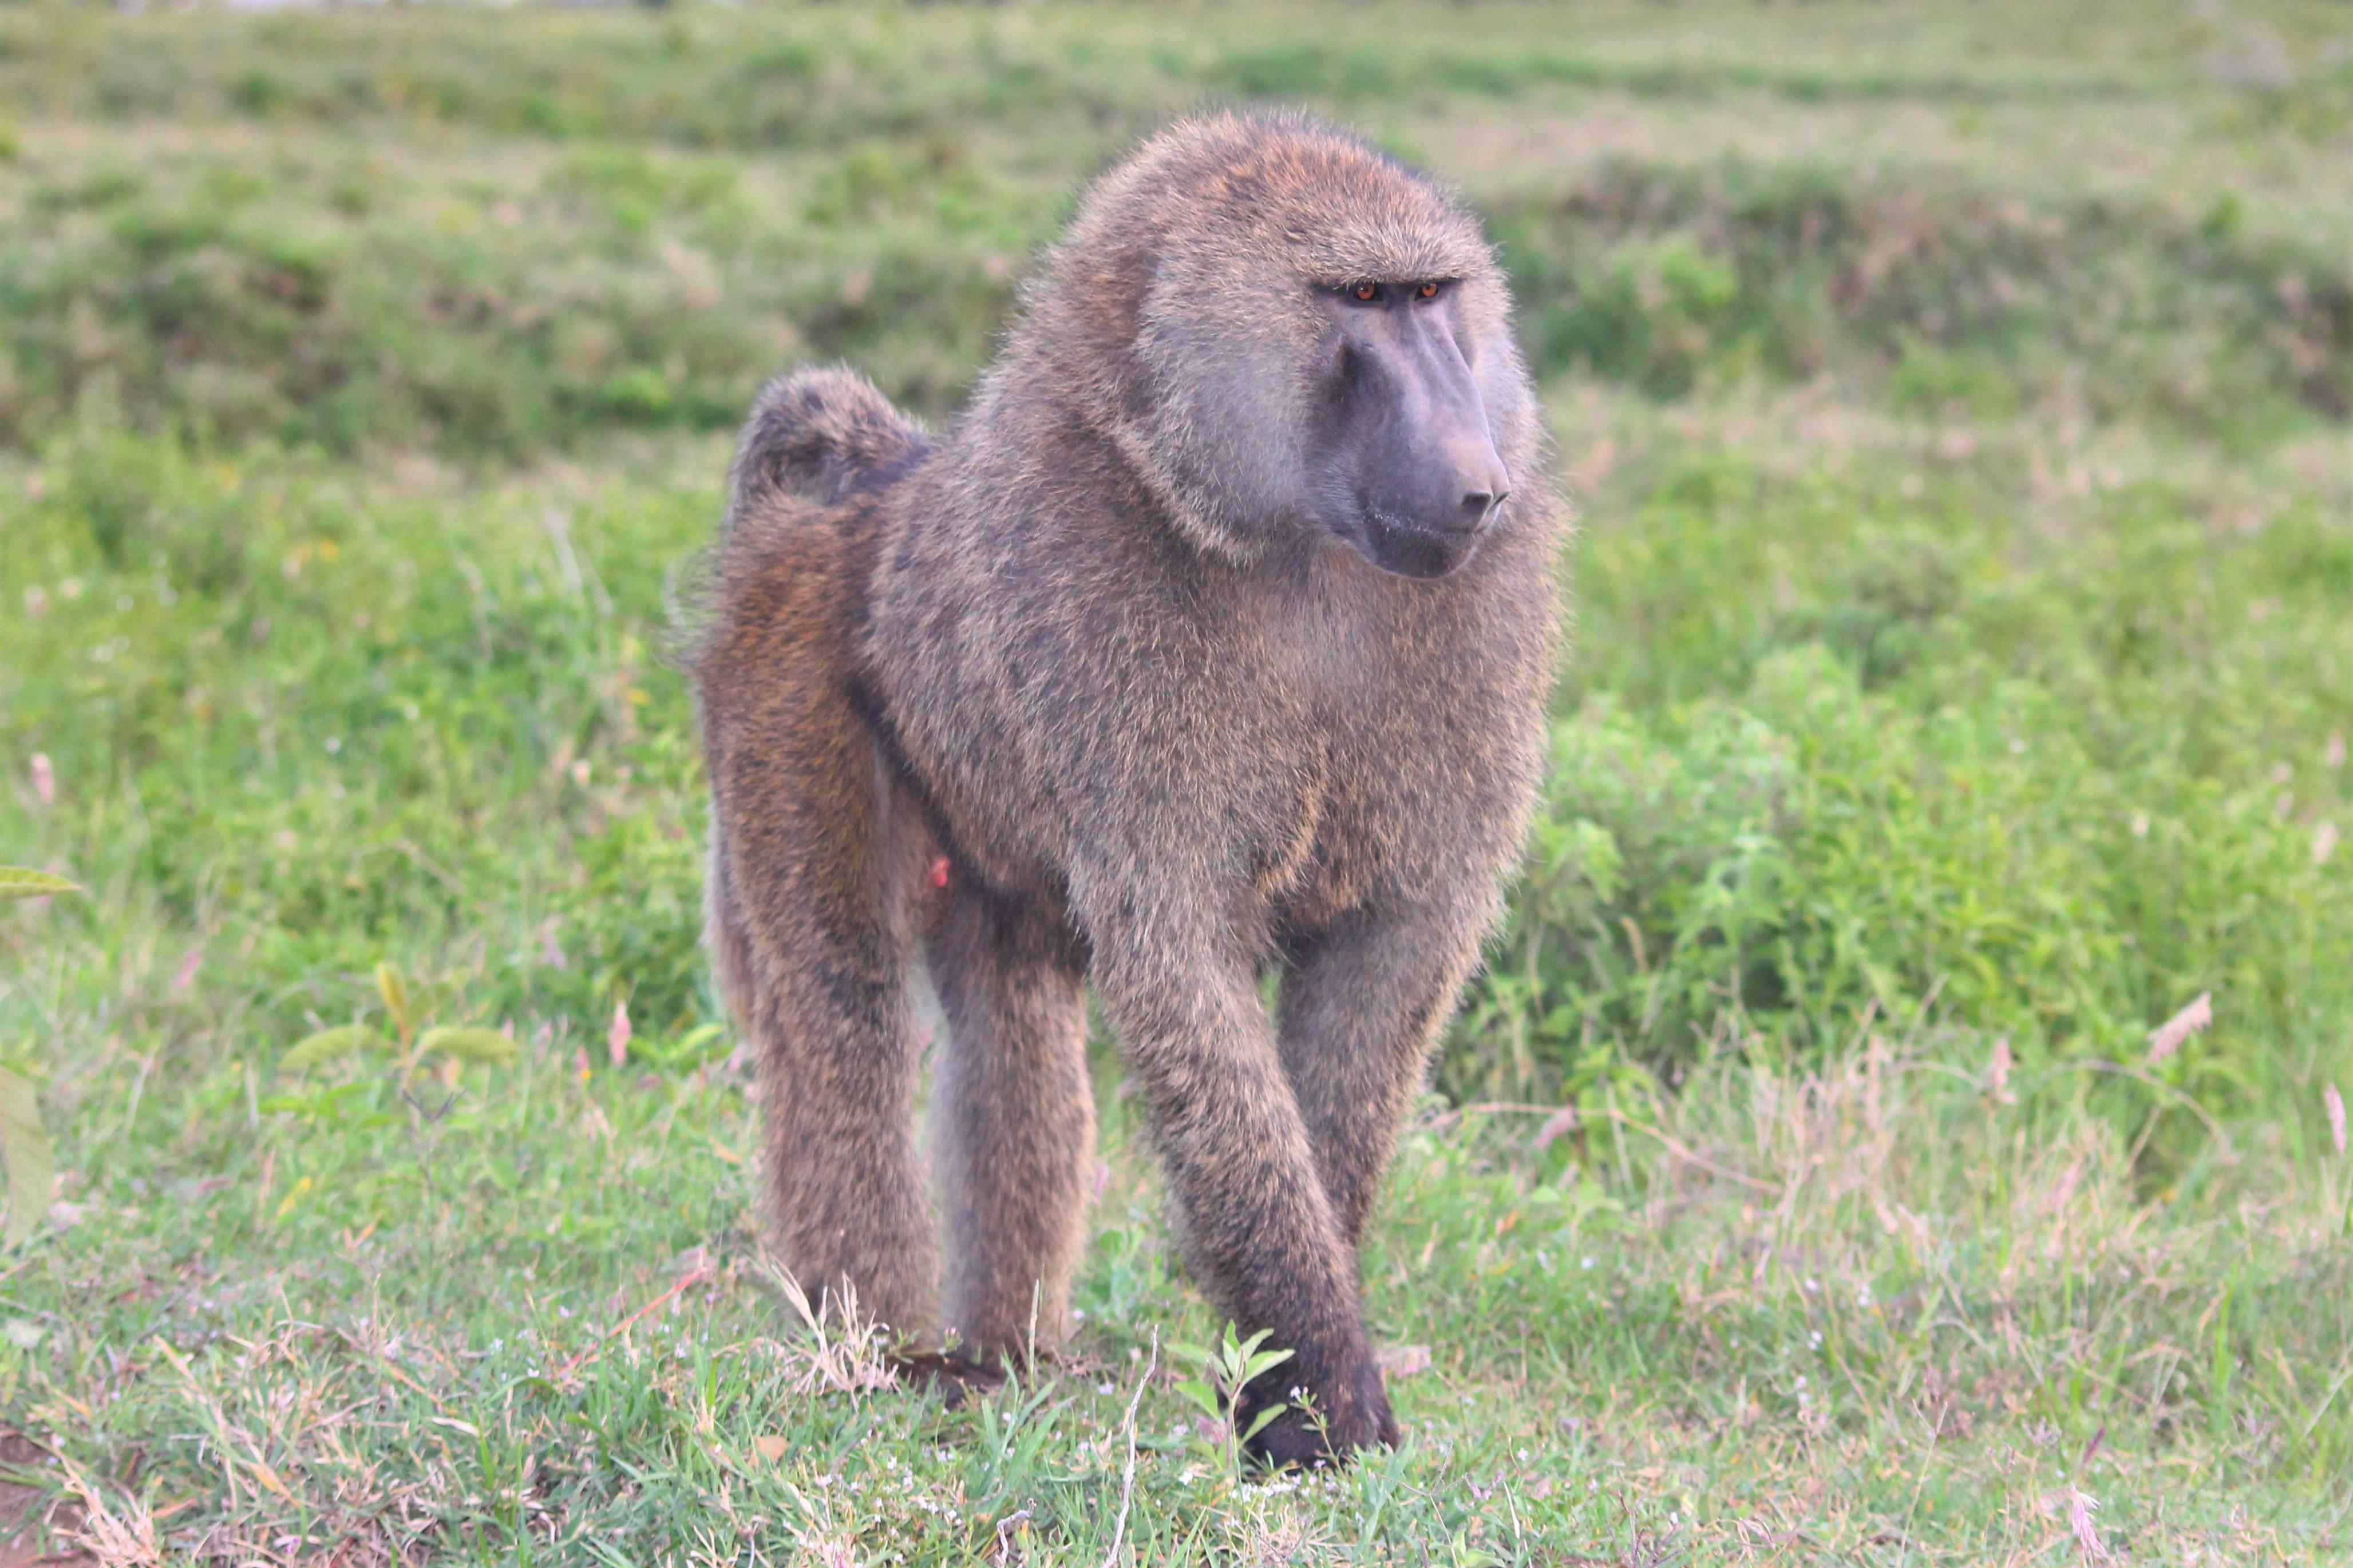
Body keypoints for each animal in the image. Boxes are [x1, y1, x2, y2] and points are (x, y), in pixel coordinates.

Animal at [691, 112, 1559, 1467]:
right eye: (1359, 300)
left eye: (1432, 296)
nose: (1477, 483)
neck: (1289, 543)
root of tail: (857, 499)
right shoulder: (1109, 617)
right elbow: (1182, 962)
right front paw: (1316, 1392)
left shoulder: (1482, 620)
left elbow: (1395, 950)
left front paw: (1289, 1370)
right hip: (785, 705)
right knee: (841, 1016)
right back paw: (879, 1361)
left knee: (1011, 1022)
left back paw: (1005, 1359)